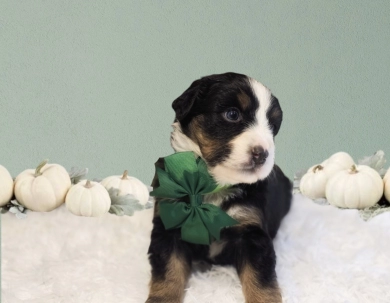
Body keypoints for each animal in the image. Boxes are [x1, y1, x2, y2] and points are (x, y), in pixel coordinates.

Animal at [147, 72, 292, 302]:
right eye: (232, 114)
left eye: (273, 126)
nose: (262, 154)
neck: (212, 185)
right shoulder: (169, 225)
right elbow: (168, 272)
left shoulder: (252, 233)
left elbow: (262, 281)